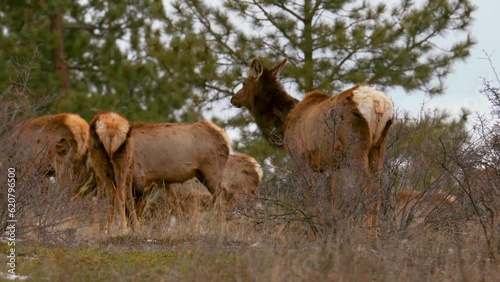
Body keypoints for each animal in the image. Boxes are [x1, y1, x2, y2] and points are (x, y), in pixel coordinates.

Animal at [230, 57, 394, 234]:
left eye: (243, 83)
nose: (233, 98)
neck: (284, 124)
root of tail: (379, 103)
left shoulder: (301, 159)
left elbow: (311, 200)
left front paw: (315, 232)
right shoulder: (332, 164)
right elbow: (333, 200)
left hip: (356, 147)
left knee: (366, 183)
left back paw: (364, 232)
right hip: (378, 147)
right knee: (377, 185)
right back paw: (374, 233)